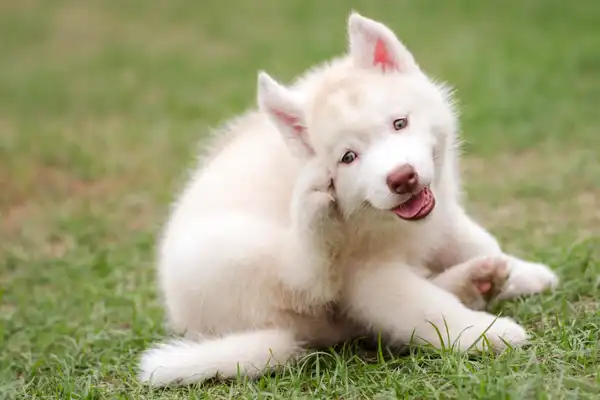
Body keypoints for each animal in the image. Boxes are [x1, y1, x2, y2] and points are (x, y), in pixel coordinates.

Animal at [138, 12, 560, 388]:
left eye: (399, 123)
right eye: (348, 157)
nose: (401, 178)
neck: (383, 221)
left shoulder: (442, 212)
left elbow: (476, 240)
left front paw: (523, 272)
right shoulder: (368, 275)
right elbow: (425, 308)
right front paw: (486, 333)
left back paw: (476, 282)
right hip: (234, 252)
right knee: (309, 278)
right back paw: (314, 213)